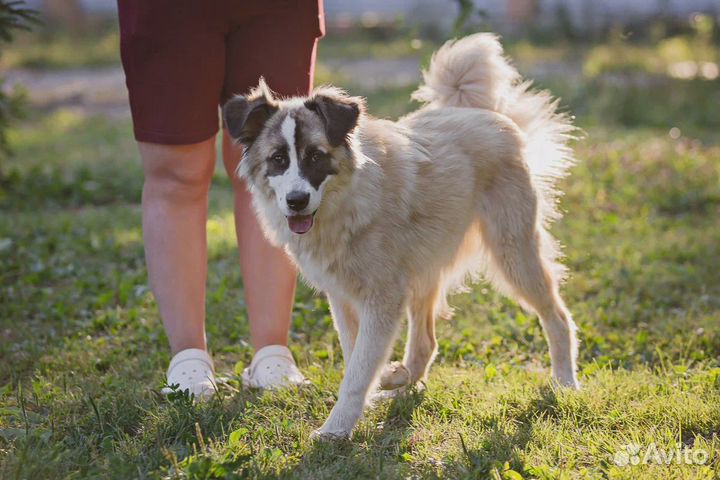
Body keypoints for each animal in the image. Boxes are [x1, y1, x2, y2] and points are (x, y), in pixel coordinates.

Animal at [225, 32, 580, 438]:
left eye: (316, 156)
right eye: (278, 159)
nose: (296, 201)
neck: (348, 201)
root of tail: (484, 113)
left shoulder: (382, 298)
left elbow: (359, 369)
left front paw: (336, 428)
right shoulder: (343, 297)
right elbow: (356, 356)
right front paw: (379, 384)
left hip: (514, 254)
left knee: (557, 316)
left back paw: (565, 381)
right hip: (425, 270)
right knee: (426, 342)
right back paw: (401, 380)